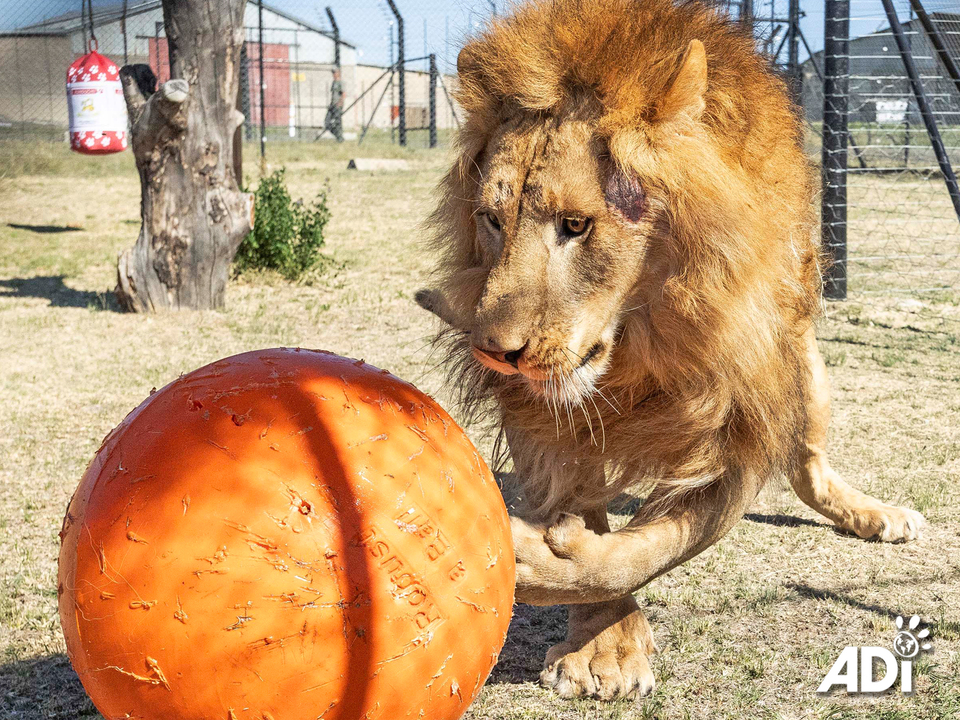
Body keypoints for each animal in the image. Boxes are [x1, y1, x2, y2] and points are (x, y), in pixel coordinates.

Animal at [416, 0, 928, 700]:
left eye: (576, 225)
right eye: (491, 220)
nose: (496, 354)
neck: (643, 337)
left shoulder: (741, 418)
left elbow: (655, 547)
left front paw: (537, 562)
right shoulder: (538, 409)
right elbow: (582, 503)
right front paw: (602, 645)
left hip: (802, 365)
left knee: (809, 460)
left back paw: (870, 513)